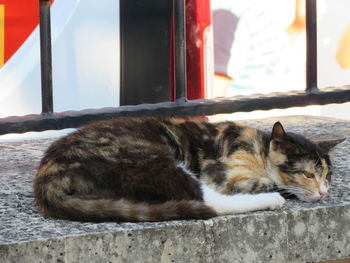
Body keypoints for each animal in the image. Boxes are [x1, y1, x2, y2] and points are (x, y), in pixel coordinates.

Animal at [33, 117, 344, 223]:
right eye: (308, 174)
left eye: (327, 175)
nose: (323, 192)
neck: (260, 148)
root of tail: (47, 174)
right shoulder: (223, 174)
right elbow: (271, 183)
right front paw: (281, 190)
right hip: (155, 159)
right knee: (209, 202)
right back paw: (271, 201)